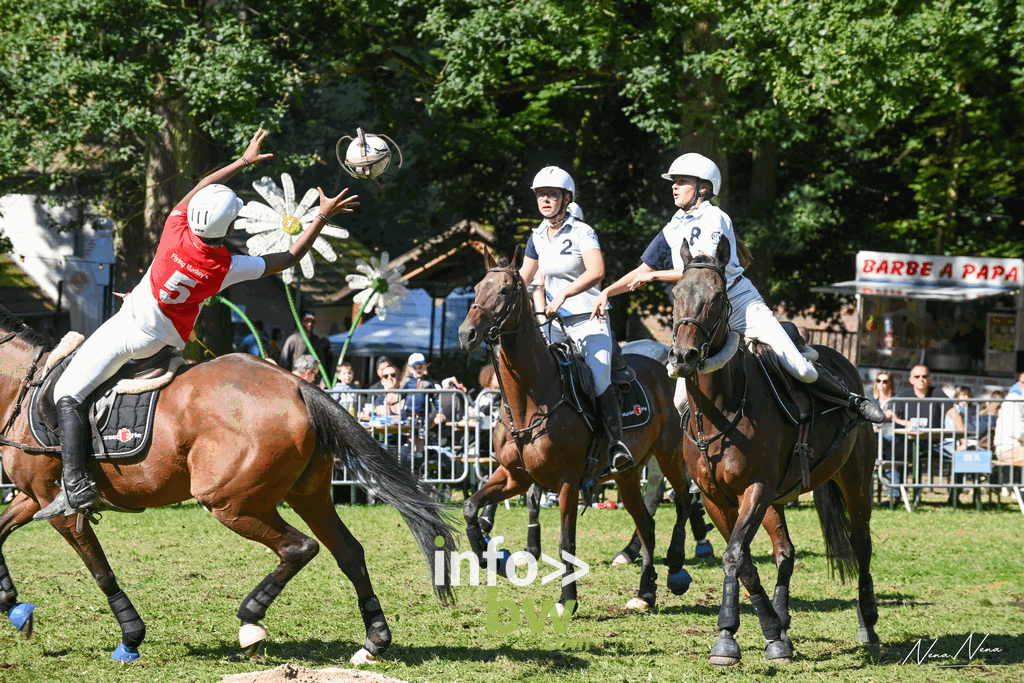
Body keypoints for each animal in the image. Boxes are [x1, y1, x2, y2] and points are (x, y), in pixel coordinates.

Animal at [0, 309, 456, 663]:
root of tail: (296, 383)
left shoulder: (56, 506)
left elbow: (100, 570)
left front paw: (130, 637)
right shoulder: (30, 496)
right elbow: (0, 534)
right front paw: (14, 607)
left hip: (229, 502)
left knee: (299, 548)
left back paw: (251, 622)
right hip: (307, 495)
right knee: (348, 552)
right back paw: (373, 641)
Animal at [458, 248, 692, 610]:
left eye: (506, 290)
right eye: (477, 287)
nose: (466, 334)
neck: (530, 401)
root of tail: (662, 369)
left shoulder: (567, 480)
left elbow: (566, 541)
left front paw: (567, 598)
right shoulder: (514, 476)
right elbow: (471, 507)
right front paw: (488, 556)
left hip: (669, 455)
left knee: (682, 502)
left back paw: (677, 567)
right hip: (627, 475)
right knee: (647, 525)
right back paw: (645, 593)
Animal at [663, 237, 880, 663]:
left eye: (718, 295)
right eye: (676, 294)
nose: (683, 357)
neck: (720, 410)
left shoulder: (756, 488)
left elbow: (734, 555)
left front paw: (727, 637)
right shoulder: (716, 497)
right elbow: (744, 560)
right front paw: (768, 633)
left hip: (855, 483)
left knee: (861, 544)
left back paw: (867, 624)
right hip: (778, 498)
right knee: (786, 551)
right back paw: (782, 620)